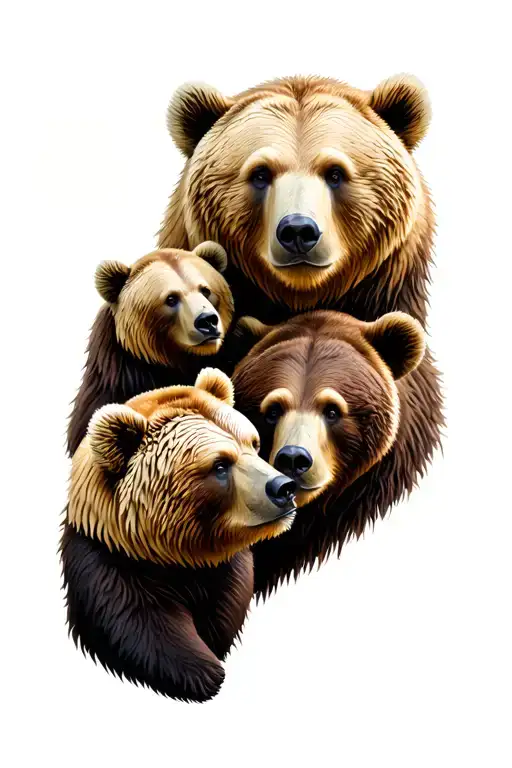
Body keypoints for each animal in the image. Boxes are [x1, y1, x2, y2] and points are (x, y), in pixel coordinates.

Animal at [61, 368, 297, 702]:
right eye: (220, 464)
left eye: (253, 443)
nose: (283, 487)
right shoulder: (114, 572)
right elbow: (141, 625)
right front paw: (204, 673)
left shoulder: (224, 577)